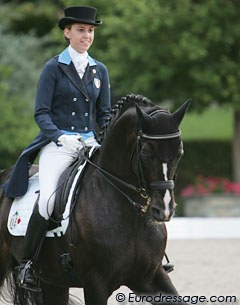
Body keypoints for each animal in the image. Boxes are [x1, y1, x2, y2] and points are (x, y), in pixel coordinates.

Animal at [0, 94, 191, 302]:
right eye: (146, 154)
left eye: (180, 153)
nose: (164, 209)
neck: (132, 216)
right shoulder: (95, 282)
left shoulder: (149, 277)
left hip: (53, 281)